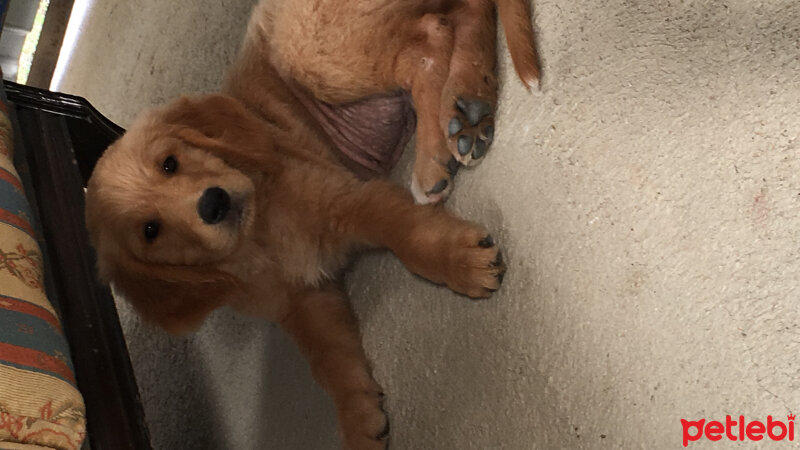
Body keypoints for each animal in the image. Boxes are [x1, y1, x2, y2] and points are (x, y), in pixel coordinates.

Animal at [86, 0, 536, 446]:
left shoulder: (352, 201)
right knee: (462, 14)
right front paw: (358, 420)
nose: (213, 203)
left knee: (428, 40)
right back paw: (468, 108)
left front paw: (458, 261)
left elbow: (408, 235)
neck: (261, 237)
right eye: (150, 230)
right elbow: (329, 361)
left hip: (314, 52)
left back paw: (433, 154)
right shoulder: (305, 301)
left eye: (170, 163)